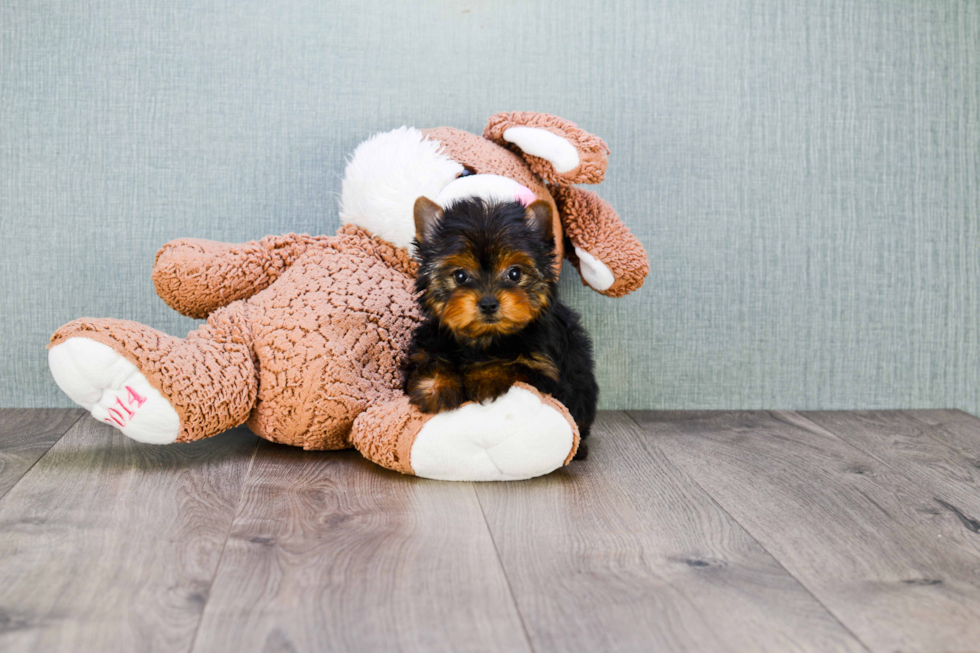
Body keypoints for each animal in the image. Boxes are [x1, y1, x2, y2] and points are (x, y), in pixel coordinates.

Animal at [404, 196, 596, 456]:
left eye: (514, 274)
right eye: (460, 276)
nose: (488, 303)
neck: (486, 338)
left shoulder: (546, 372)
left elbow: (510, 364)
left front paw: (484, 377)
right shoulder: (429, 345)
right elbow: (432, 361)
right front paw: (434, 388)